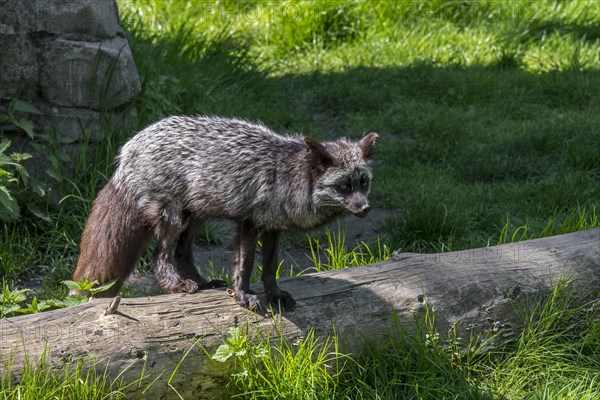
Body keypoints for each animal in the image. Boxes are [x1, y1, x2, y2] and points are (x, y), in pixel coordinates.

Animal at [72, 115, 378, 310]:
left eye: (363, 183)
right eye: (343, 186)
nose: (365, 208)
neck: (287, 175)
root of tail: (127, 150)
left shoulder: (273, 229)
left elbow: (269, 268)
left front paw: (274, 295)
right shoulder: (249, 224)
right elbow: (245, 266)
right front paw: (243, 297)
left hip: (197, 216)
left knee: (182, 253)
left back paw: (203, 283)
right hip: (174, 218)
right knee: (160, 257)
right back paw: (177, 285)